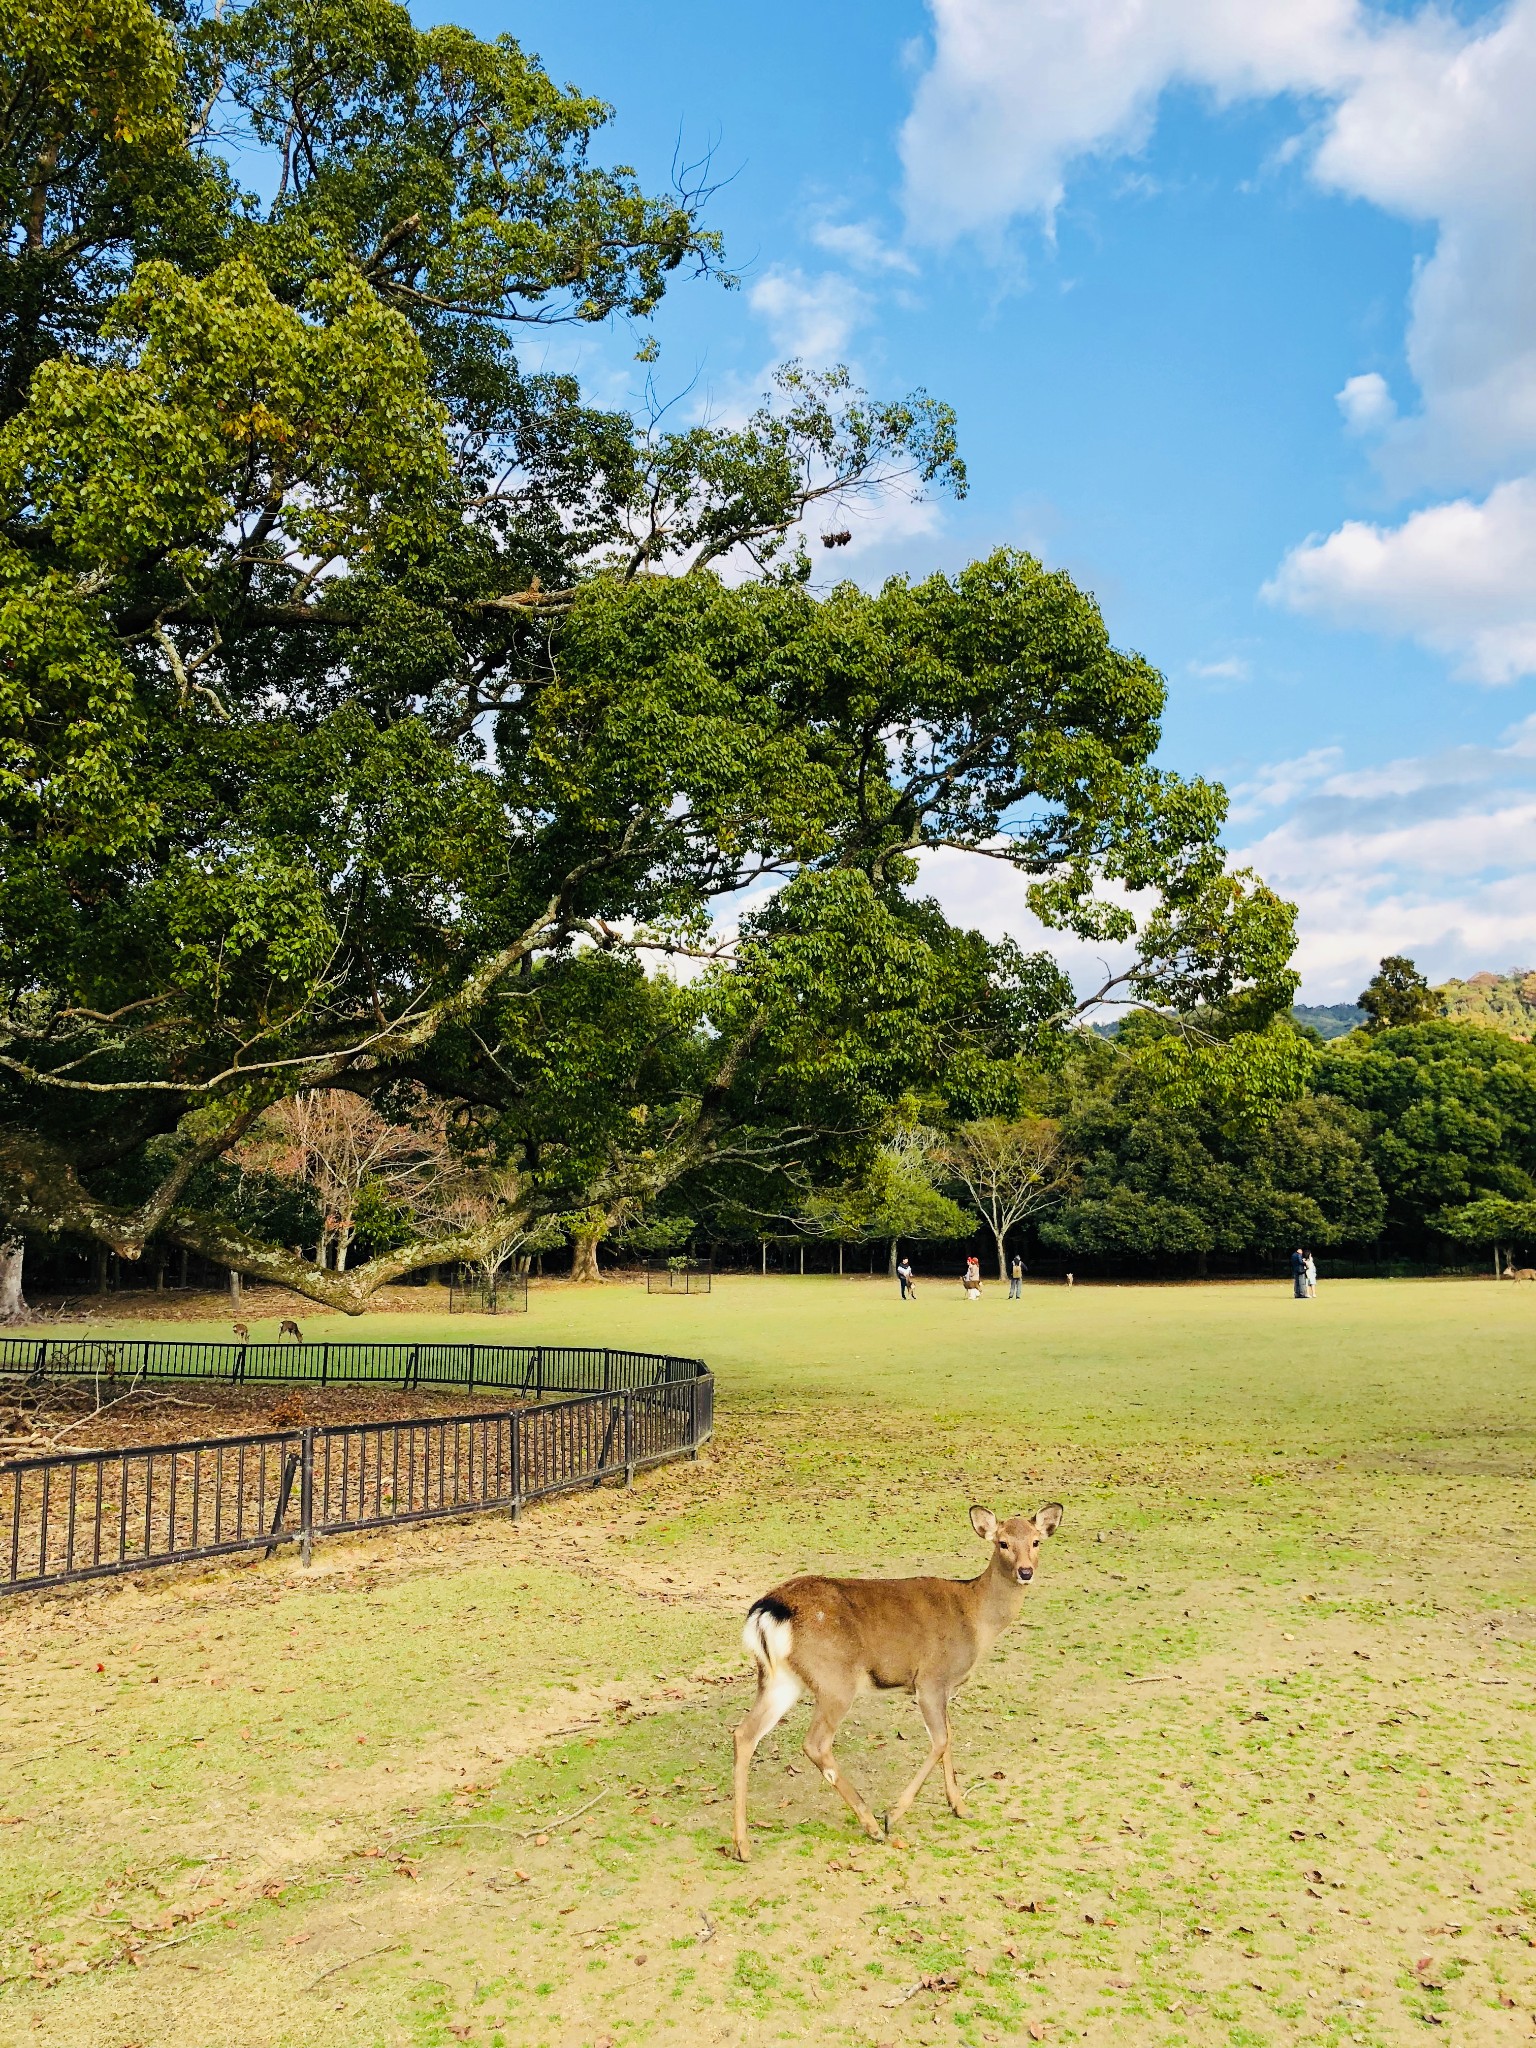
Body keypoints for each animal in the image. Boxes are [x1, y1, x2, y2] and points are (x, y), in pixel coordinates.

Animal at [737, 1499, 1073, 1867]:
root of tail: (767, 1611)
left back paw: (743, 1846)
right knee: (815, 1743)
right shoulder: (930, 1679)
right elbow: (940, 1741)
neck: (975, 1619)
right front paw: (893, 1814)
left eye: (1036, 1541)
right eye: (1003, 1543)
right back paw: (872, 1824)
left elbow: (949, 1737)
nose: (1025, 1571)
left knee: (744, 1733)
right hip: (835, 1680)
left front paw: (959, 1806)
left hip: (779, 1679)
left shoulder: (946, 1688)